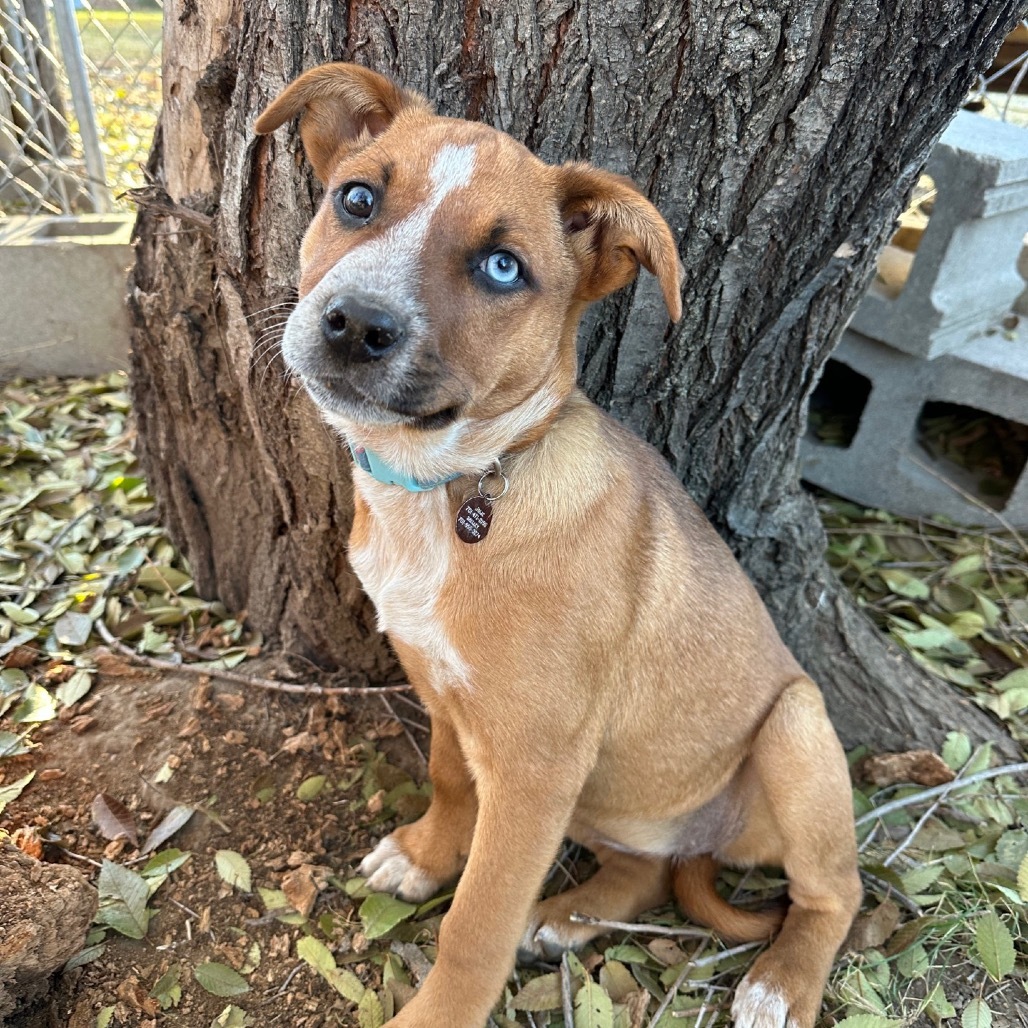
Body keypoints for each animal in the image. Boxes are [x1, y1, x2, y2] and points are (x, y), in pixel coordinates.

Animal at [254, 64, 859, 1028]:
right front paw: (425, 857)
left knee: (836, 893)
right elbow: (449, 782)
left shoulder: (535, 768)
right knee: (646, 872)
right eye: (356, 199)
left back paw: (780, 983)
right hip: (608, 803)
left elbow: (477, 923)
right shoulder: (445, 691)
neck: (454, 487)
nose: (354, 323)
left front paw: (437, 1010)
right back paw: (574, 915)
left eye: (503, 268)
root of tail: (699, 840)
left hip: (797, 730)